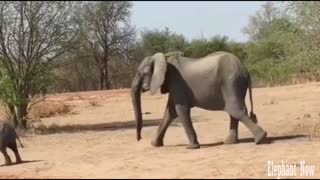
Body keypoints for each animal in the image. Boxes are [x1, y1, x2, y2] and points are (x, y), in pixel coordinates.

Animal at [131, 51, 268, 149]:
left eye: (141, 74)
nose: (139, 138)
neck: (164, 59)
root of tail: (245, 69)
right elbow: (170, 112)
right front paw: (154, 144)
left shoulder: (177, 83)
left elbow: (180, 110)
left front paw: (192, 147)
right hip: (234, 84)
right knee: (234, 111)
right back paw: (230, 142)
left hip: (231, 82)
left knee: (235, 110)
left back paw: (260, 139)